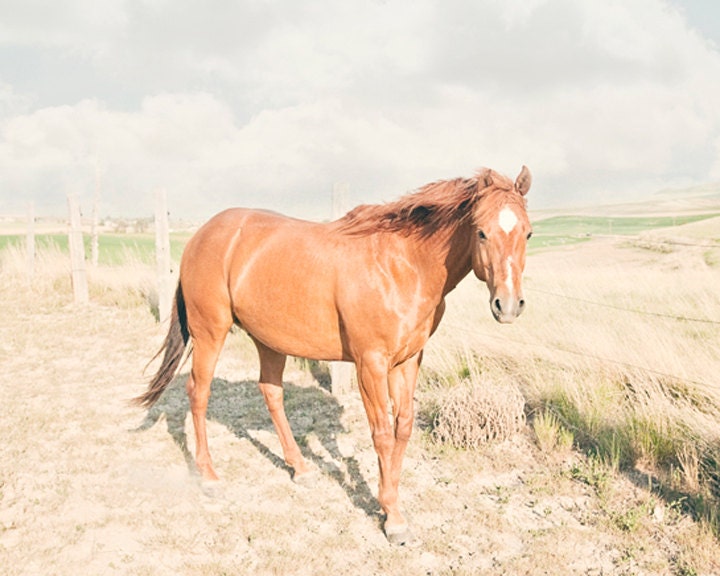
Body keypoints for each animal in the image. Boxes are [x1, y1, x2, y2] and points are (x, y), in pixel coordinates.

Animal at [135, 165, 533, 544]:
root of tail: (201, 236)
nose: (508, 306)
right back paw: (210, 477)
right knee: (198, 393)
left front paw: (391, 503)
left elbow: (403, 428)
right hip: (210, 333)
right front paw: (393, 518)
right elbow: (382, 433)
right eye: (481, 232)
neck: (402, 265)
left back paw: (301, 469)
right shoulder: (370, 364)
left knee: (271, 393)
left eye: (527, 233)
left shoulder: (408, 361)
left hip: (269, 340)